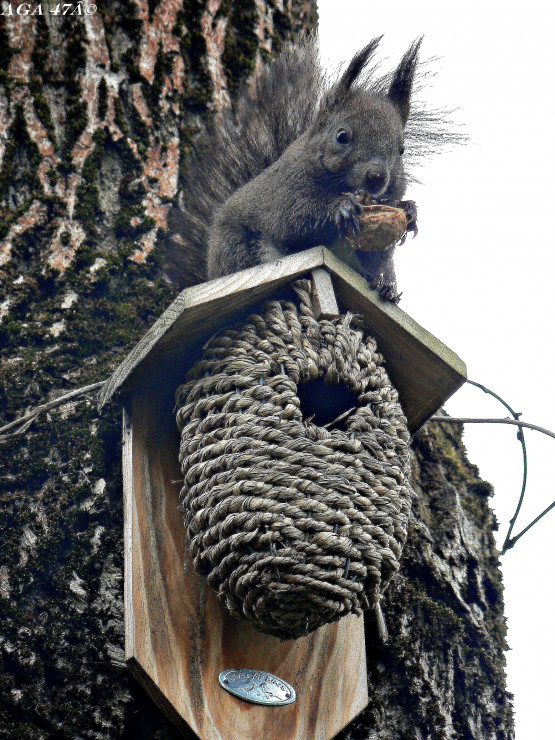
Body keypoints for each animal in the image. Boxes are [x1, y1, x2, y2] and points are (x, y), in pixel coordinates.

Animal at [162, 36, 448, 304]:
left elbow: (379, 254)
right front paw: (342, 208)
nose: (377, 177)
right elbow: (295, 217)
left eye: (401, 150)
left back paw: (387, 287)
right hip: (239, 250)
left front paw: (409, 211)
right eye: (342, 136)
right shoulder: (286, 190)